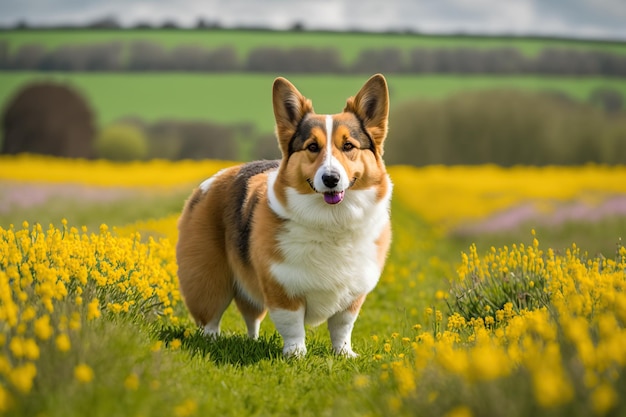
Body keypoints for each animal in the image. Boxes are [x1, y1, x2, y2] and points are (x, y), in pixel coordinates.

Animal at [176, 74, 390, 354]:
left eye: (348, 146)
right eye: (312, 147)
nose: (331, 179)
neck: (332, 220)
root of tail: (210, 182)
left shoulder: (352, 295)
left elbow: (342, 327)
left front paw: (343, 353)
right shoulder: (282, 286)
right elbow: (292, 325)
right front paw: (296, 354)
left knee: (251, 317)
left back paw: (252, 342)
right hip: (209, 280)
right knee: (210, 319)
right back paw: (212, 341)